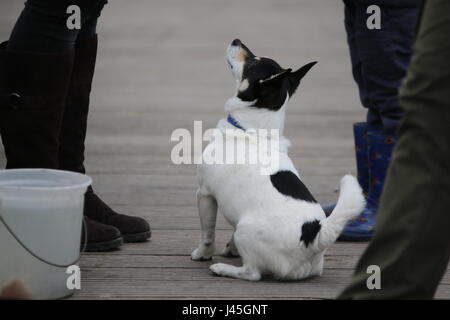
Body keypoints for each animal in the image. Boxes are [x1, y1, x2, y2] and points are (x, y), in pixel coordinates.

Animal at [191, 39, 366, 280]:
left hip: (246, 230)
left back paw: (223, 269)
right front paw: (230, 248)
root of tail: (312, 236)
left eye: (251, 62)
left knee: (252, 273)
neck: (253, 130)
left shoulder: (205, 193)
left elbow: (207, 233)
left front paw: (202, 254)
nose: (237, 40)